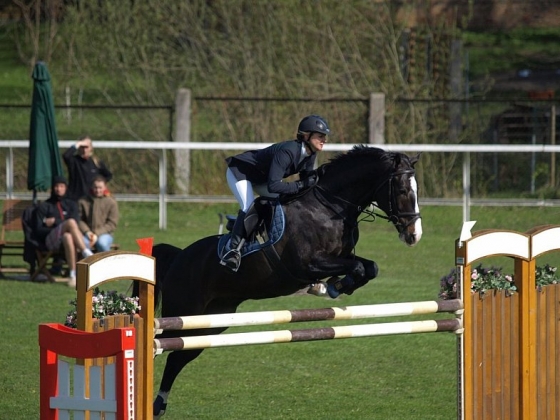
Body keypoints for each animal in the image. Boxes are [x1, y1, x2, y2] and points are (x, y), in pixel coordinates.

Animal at [149, 146, 420, 418]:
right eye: (402, 190)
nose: (414, 235)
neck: (328, 208)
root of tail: (179, 257)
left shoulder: (341, 257)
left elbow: (370, 267)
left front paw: (334, 286)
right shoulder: (307, 264)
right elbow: (358, 267)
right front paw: (332, 286)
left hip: (211, 322)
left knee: (177, 357)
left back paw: (159, 405)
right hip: (183, 312)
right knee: (162, 343)